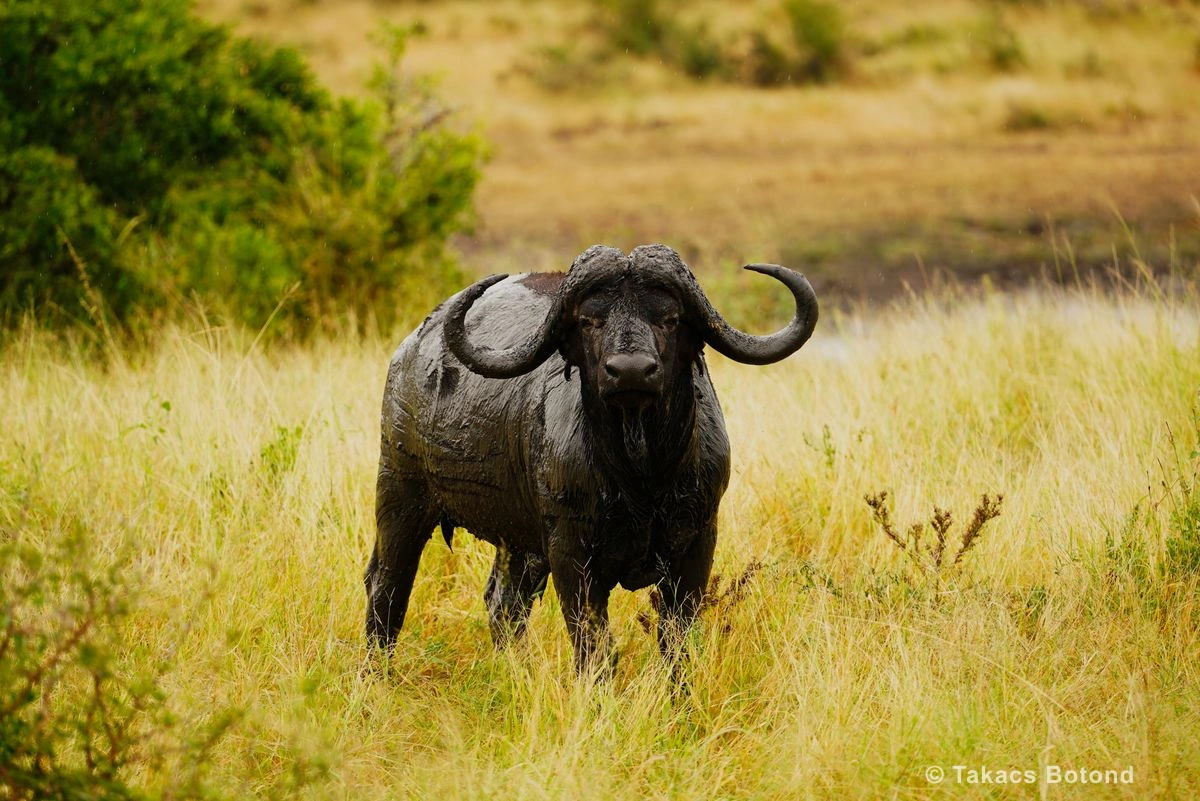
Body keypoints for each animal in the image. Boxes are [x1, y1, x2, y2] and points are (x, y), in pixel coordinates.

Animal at [365, 244, 817, 671]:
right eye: (588, 320)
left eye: (670, 318)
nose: (631, 371)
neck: (640, 476)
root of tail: (411, 349)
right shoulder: (570, 550)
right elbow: (594, 645)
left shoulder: (697, 543)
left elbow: (677, 640)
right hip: (400, 495)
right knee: (387, 587)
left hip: (519, 542)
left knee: (503, 603)